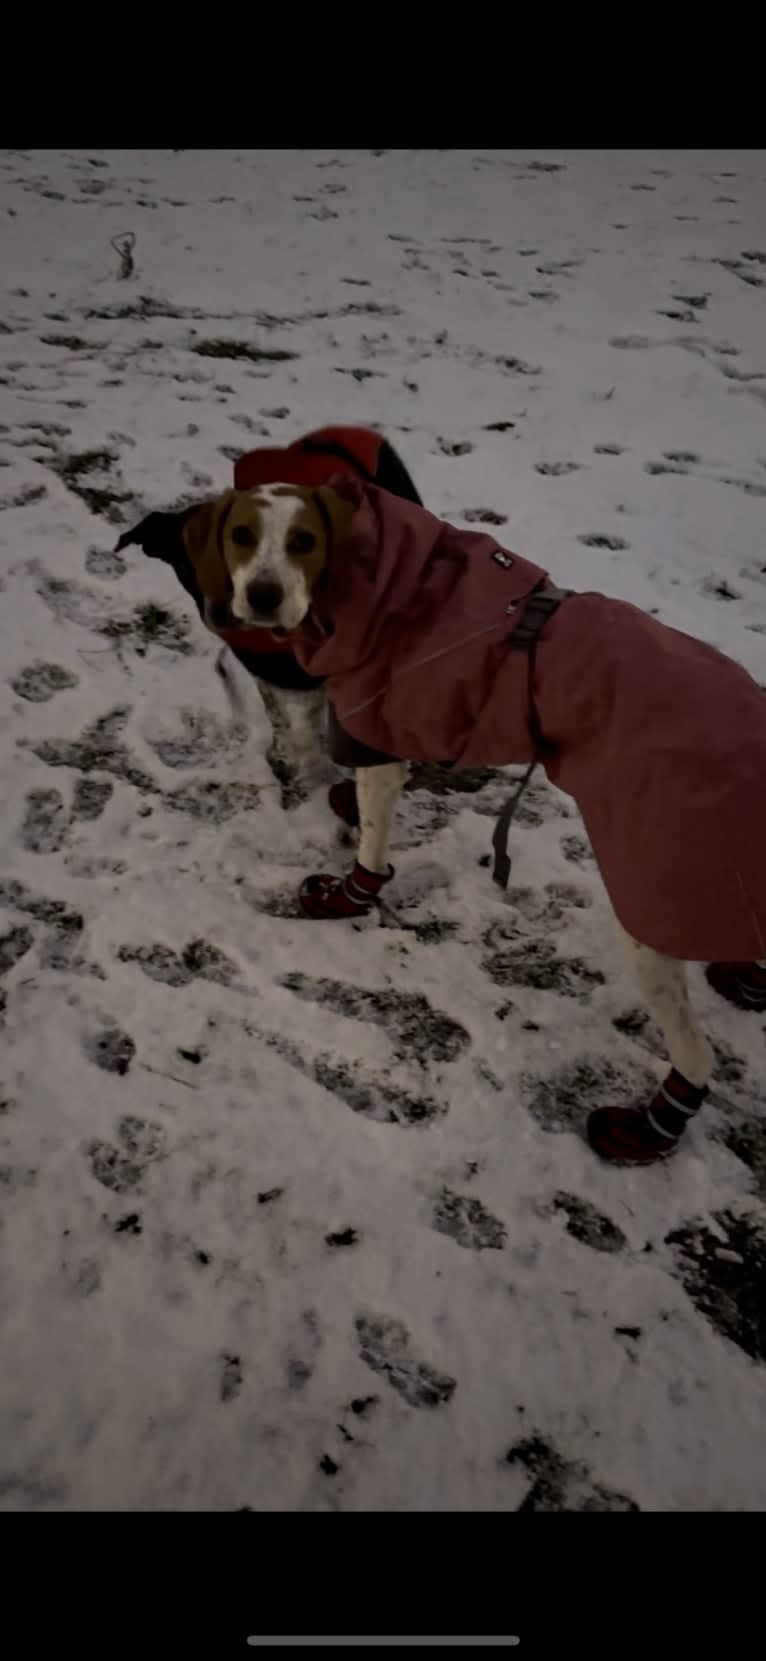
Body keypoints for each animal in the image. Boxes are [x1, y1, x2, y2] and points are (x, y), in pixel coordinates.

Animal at [172, 468, 764, 1169]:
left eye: (304, 541)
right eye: (240, 535)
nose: (262, 596)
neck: (384, 583)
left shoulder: (376, 725)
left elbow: (371, 841)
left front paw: (349, 895)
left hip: (654, 896)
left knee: (696, 1054)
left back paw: (649, 1128)